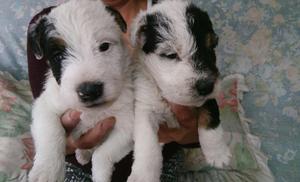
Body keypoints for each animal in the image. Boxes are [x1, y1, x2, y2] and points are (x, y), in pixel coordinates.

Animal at [27, 0, 134, 181]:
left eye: (104, 46)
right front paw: (47, 171)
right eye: (58, 56)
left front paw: (101, 175)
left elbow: (103, 154)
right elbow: (50, 131)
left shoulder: (127, 126)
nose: (89, 90)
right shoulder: (45, 105)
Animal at [127, 0, 231, 181]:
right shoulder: (144, 107)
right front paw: (143, 175)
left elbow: (210, 120)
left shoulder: (208, 99)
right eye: (170, 55)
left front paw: (218, 154)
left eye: (211, 47)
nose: (206, 86)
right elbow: (147, 143)